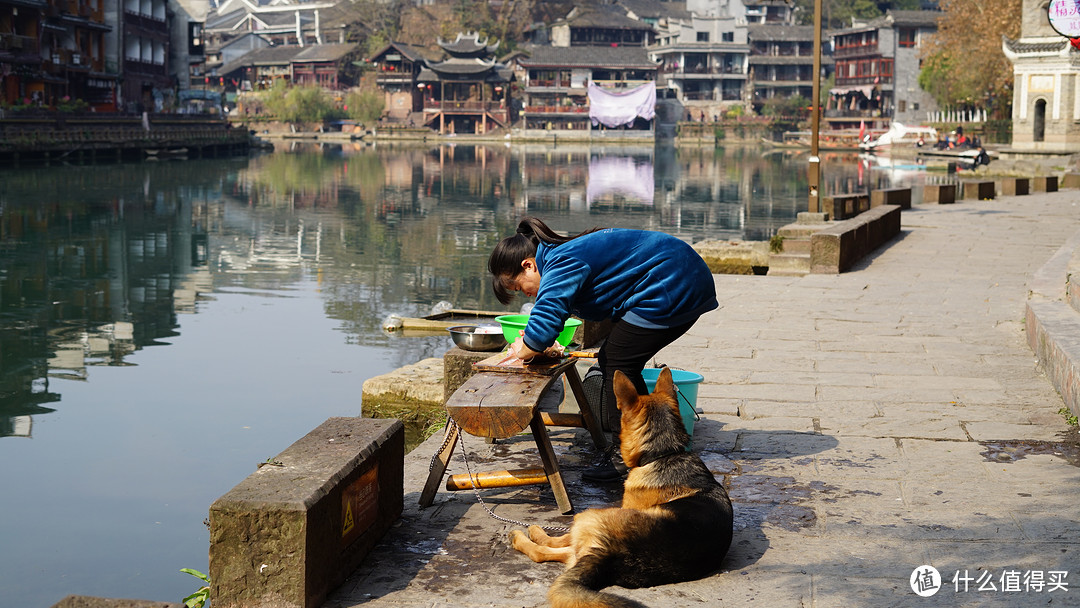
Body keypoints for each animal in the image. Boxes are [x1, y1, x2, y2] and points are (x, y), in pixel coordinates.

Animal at [507, 367, 734, 608]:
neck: (664, 453)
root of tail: (611, 557)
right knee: (560, 552)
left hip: (589, 515)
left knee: (547, 548)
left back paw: (527, 535)